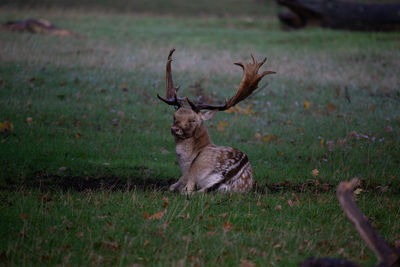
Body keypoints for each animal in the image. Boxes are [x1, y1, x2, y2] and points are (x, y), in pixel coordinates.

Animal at [156, 48, 276, 195]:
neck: (185, 161)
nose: (174, 129)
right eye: (175, 116)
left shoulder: (188, 171)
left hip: (197, 167)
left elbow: (174, 186)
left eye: (193, 120)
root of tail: (224, 178)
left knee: (187, 190)